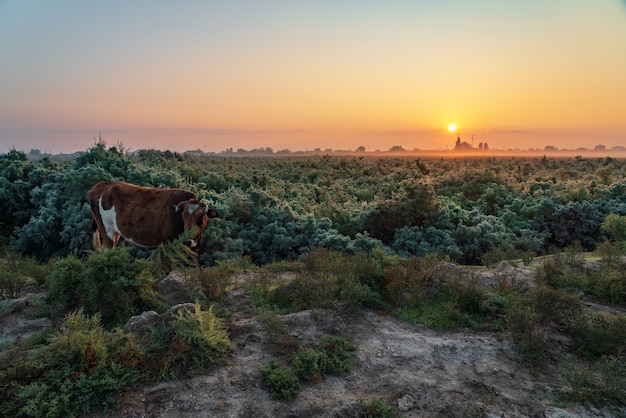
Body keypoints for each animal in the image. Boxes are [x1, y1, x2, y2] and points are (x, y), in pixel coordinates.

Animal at [86, 180, 216, 251]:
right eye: (183, 218)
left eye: (199, 218)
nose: (187, 241)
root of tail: (102, 184)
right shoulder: (168, 243)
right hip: (106, 231)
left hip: (116, 232)